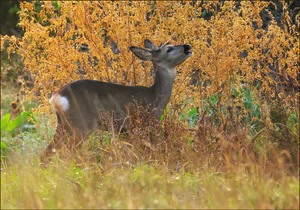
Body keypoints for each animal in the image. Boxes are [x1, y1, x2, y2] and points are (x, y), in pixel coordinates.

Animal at [40, 39, 192, 164]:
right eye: (169, 49)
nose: (187, 46)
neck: (155, 97)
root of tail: (56, 97)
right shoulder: (144, 124)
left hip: (64, 124)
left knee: (47, 153)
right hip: (81, 124)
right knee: (66, 152)